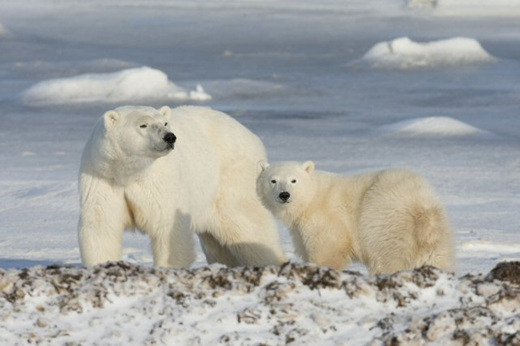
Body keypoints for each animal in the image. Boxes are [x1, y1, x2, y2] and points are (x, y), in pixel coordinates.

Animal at [79, 105, 286, 268]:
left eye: (164, 123)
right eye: (143, 125)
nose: (169, 137)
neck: (129, 173)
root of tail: (252, 136)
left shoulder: (159, 181)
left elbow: (168, 227)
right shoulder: (102, 178)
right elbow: (101, 225)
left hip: (231, 179)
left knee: (248, 224)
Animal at [258, 161, 456, 274]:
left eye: (294, 180)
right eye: (273, 180)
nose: (284, 195)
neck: (311, 199)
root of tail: (418, 203)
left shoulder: (326, 218)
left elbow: (328, 251)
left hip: (383, 222)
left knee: (389, 259)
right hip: (436, 229)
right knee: (437, 258)